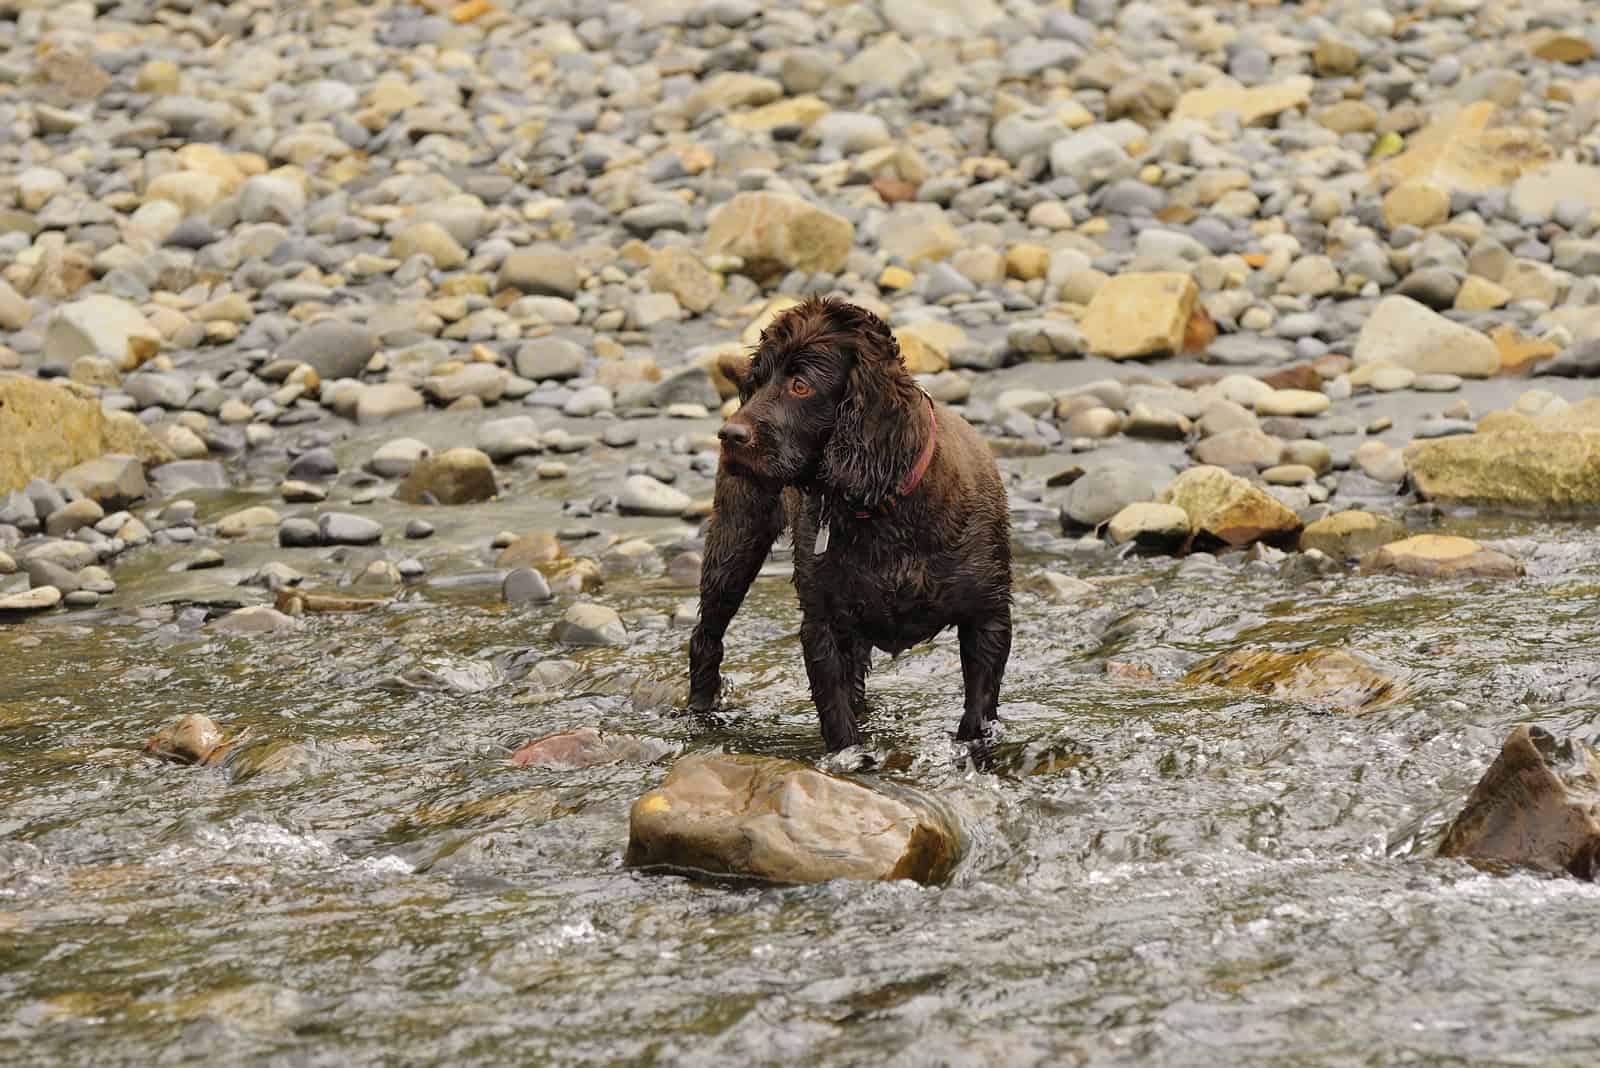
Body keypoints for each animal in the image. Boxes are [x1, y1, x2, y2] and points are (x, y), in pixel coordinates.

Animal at [688, 295, 1011, 751]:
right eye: (758, 380)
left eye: (801, 385)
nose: (728, 435)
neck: (885, 509)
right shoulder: (822, 625)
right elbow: (838, 720)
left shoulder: (988, 617)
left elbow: (977, 714)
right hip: (735, 542)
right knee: (706, 636)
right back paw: (700, 714)